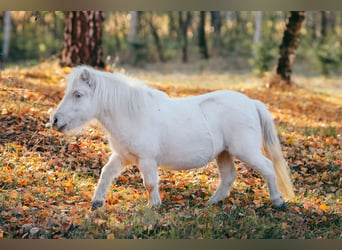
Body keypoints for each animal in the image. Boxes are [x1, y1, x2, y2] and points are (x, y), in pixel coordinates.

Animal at [50, 66, 294, 211]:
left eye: (78, 94)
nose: (54, 120)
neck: (133, 113)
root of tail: (251, 102)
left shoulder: (146, 160)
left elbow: (149, 183)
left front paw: (154, 206)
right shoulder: (122, 156)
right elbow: (106, 174)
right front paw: (97, 202)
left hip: (246, 151)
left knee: (268, 168)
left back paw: (278, 202)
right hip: (224, 153)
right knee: (228, 177)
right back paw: (211, 203)